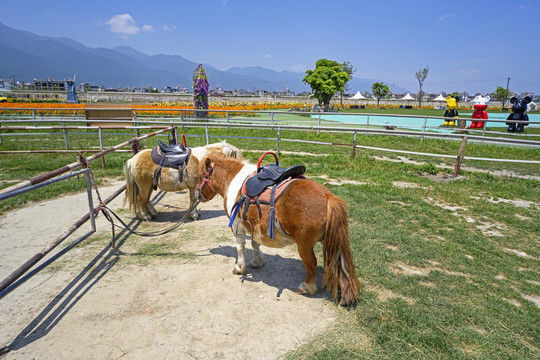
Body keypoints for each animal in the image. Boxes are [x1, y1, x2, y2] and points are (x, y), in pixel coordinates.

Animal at [196, 153, 360, 306]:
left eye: (200, 177)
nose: (198, 194)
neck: (233, 180)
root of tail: (328, 197)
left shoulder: (237, 224)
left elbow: (240, 247)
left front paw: (239, 267)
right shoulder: (254, 226)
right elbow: (255, 244)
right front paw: (257, 262)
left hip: (304, 245)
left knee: (312, 263)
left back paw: (306, 287)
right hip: (333, 242)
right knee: (340, 264)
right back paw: (345, 295)